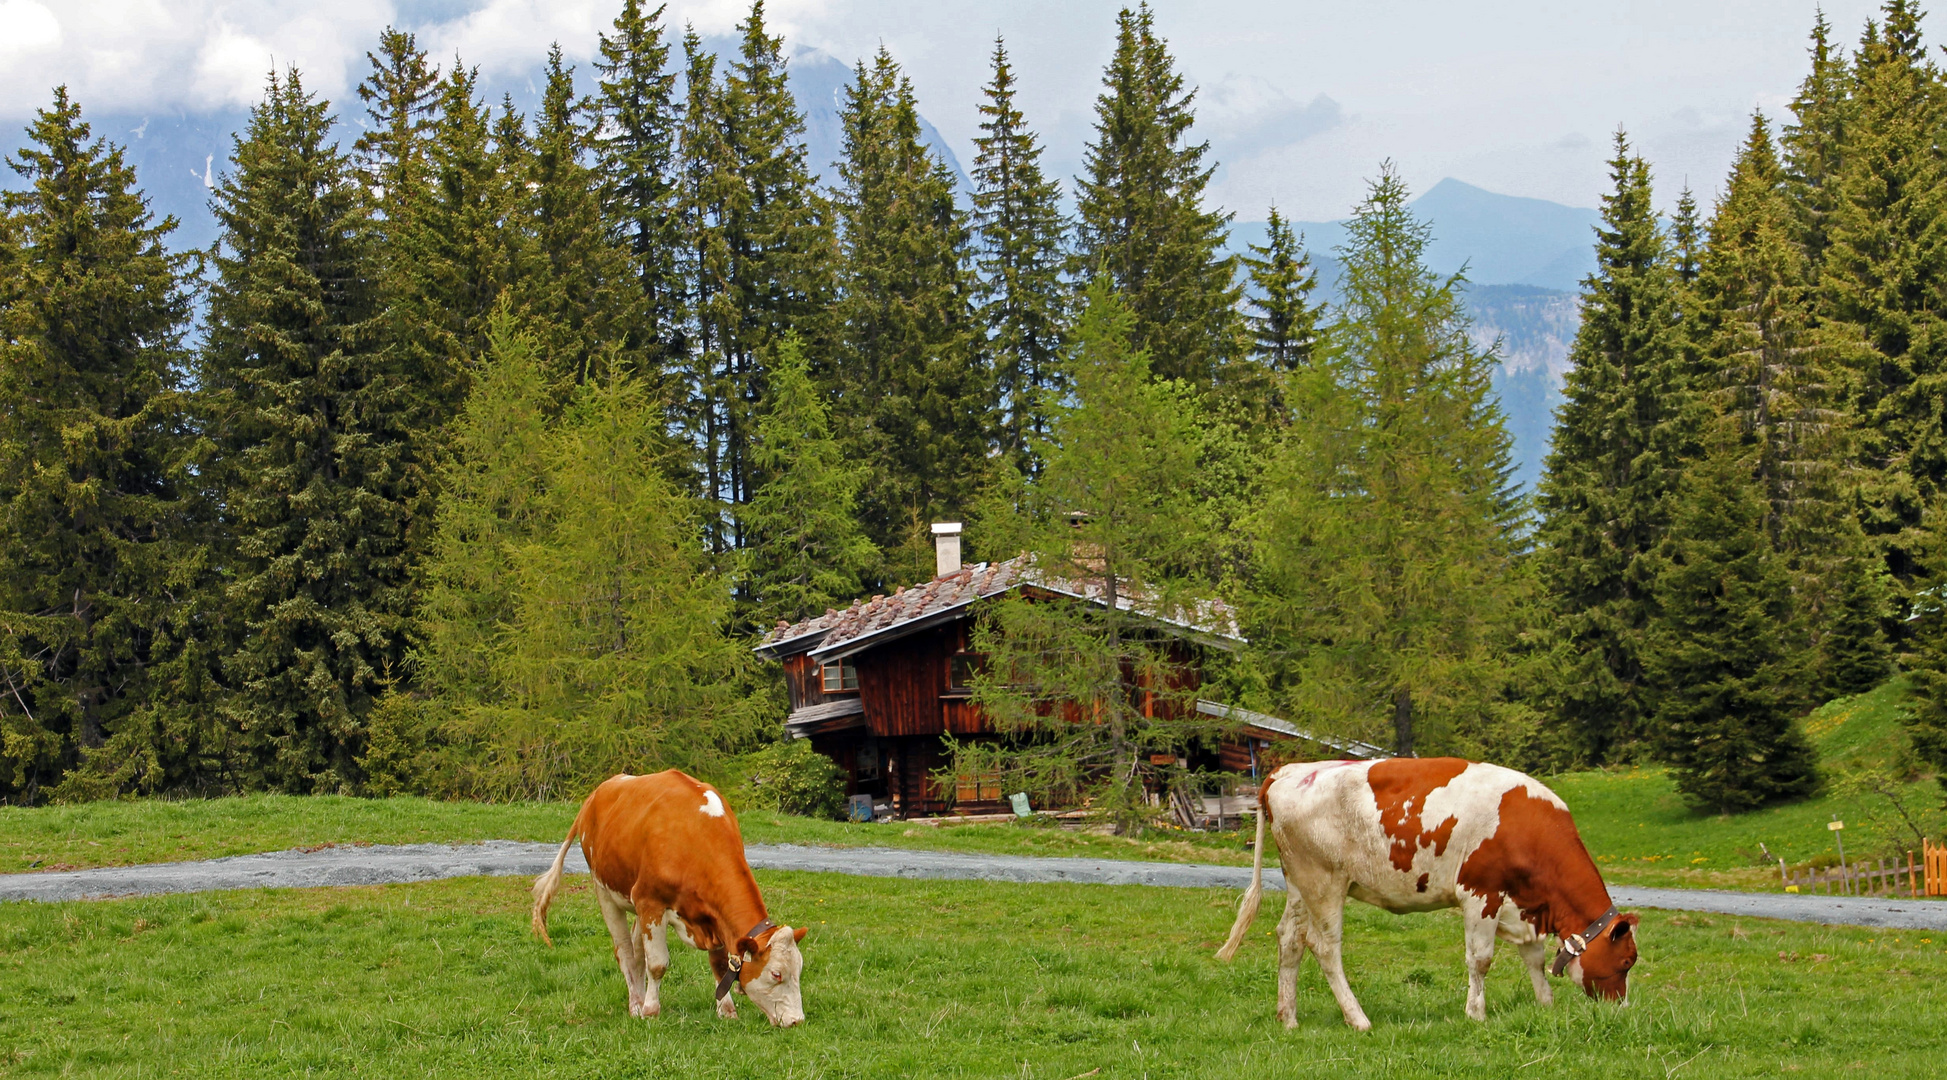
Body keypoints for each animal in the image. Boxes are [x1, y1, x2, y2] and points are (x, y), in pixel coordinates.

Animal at [529, 774, 809, 1027]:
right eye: (776, 973)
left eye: (799, 970)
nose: (797, 1021)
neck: (696, 838)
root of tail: (598, 792)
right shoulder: (651, 903)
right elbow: (657, 964)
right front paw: (651, 1011)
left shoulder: (713, 916)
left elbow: (719, 964)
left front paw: (727, 1011)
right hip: (606, 892)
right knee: (625, 953)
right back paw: (636, 1005)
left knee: (636, 953)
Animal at [1214, 755, 1643, 1035]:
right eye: (1626, 961)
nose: (1621, 1011)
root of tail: (1288, 771)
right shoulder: (1481, 894)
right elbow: (1480, 960)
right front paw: (1476, 1014)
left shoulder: (1521, 906)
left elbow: (1533, 958)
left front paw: (1546, 1005)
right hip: (1324, 882)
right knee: (1323, 946)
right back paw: (1358, 1020)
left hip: (1299, 884)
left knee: (1290, 939)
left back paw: (1288, 1018)